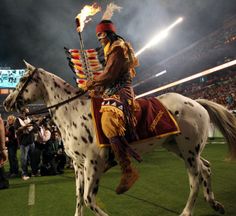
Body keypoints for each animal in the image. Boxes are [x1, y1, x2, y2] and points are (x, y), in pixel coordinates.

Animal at [3, 61, 236, 215]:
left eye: (22, 79)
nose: (6, 103)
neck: (73, 113)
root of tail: (196, 102)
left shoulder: (94, 163)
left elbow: (89, 199)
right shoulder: (79, 165)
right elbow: (79, 198)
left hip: (188, 151)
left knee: (195, 179)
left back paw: (187, 211)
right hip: (178, 148)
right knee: (205, 168)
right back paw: (214, 203)